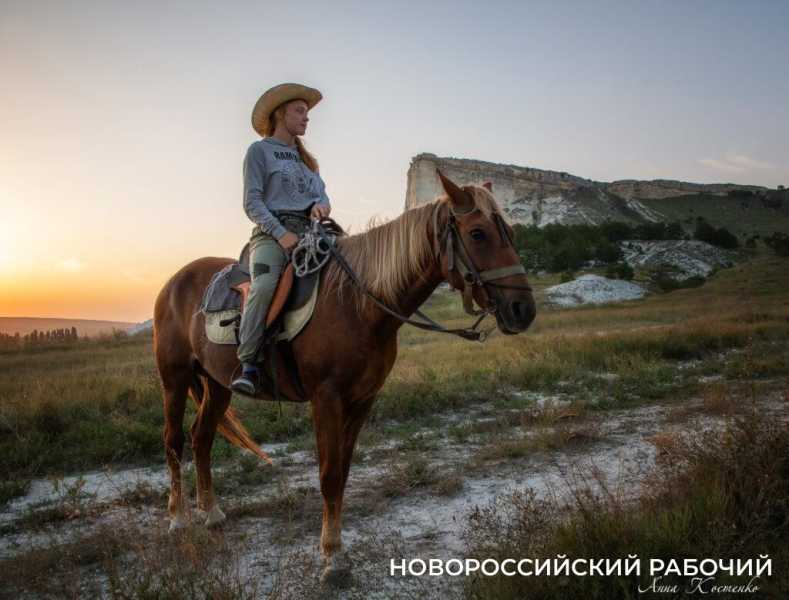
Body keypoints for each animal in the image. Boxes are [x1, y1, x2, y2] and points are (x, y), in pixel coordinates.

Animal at [152, 170, 536, 583]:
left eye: (510, 231)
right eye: (478, 233)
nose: (523, 310)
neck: (359, 302)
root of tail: (173, 282)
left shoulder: (363, 399)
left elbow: (344, 473)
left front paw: (336, 549)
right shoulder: (327, 399)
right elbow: (329, 475)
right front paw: (332, 557)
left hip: (219, 384)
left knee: (202, 438)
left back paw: (211, 513)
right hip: (174, 379)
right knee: (174, 441)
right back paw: (177, 519)